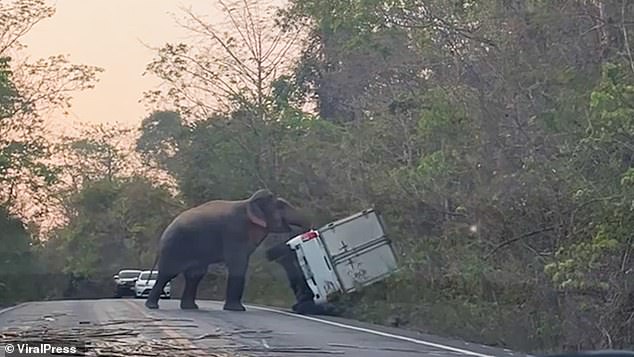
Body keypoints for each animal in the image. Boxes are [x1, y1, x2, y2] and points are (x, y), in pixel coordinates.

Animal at [143, 188, 312, 310]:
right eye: (281, 205)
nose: (308, 232)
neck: (248, 202)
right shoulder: (235, 231)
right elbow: (238, 264)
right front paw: (237, 309)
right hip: (174, 248)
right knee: (167, 274)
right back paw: (152, 306)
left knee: (195, 275)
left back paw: (190, 308)